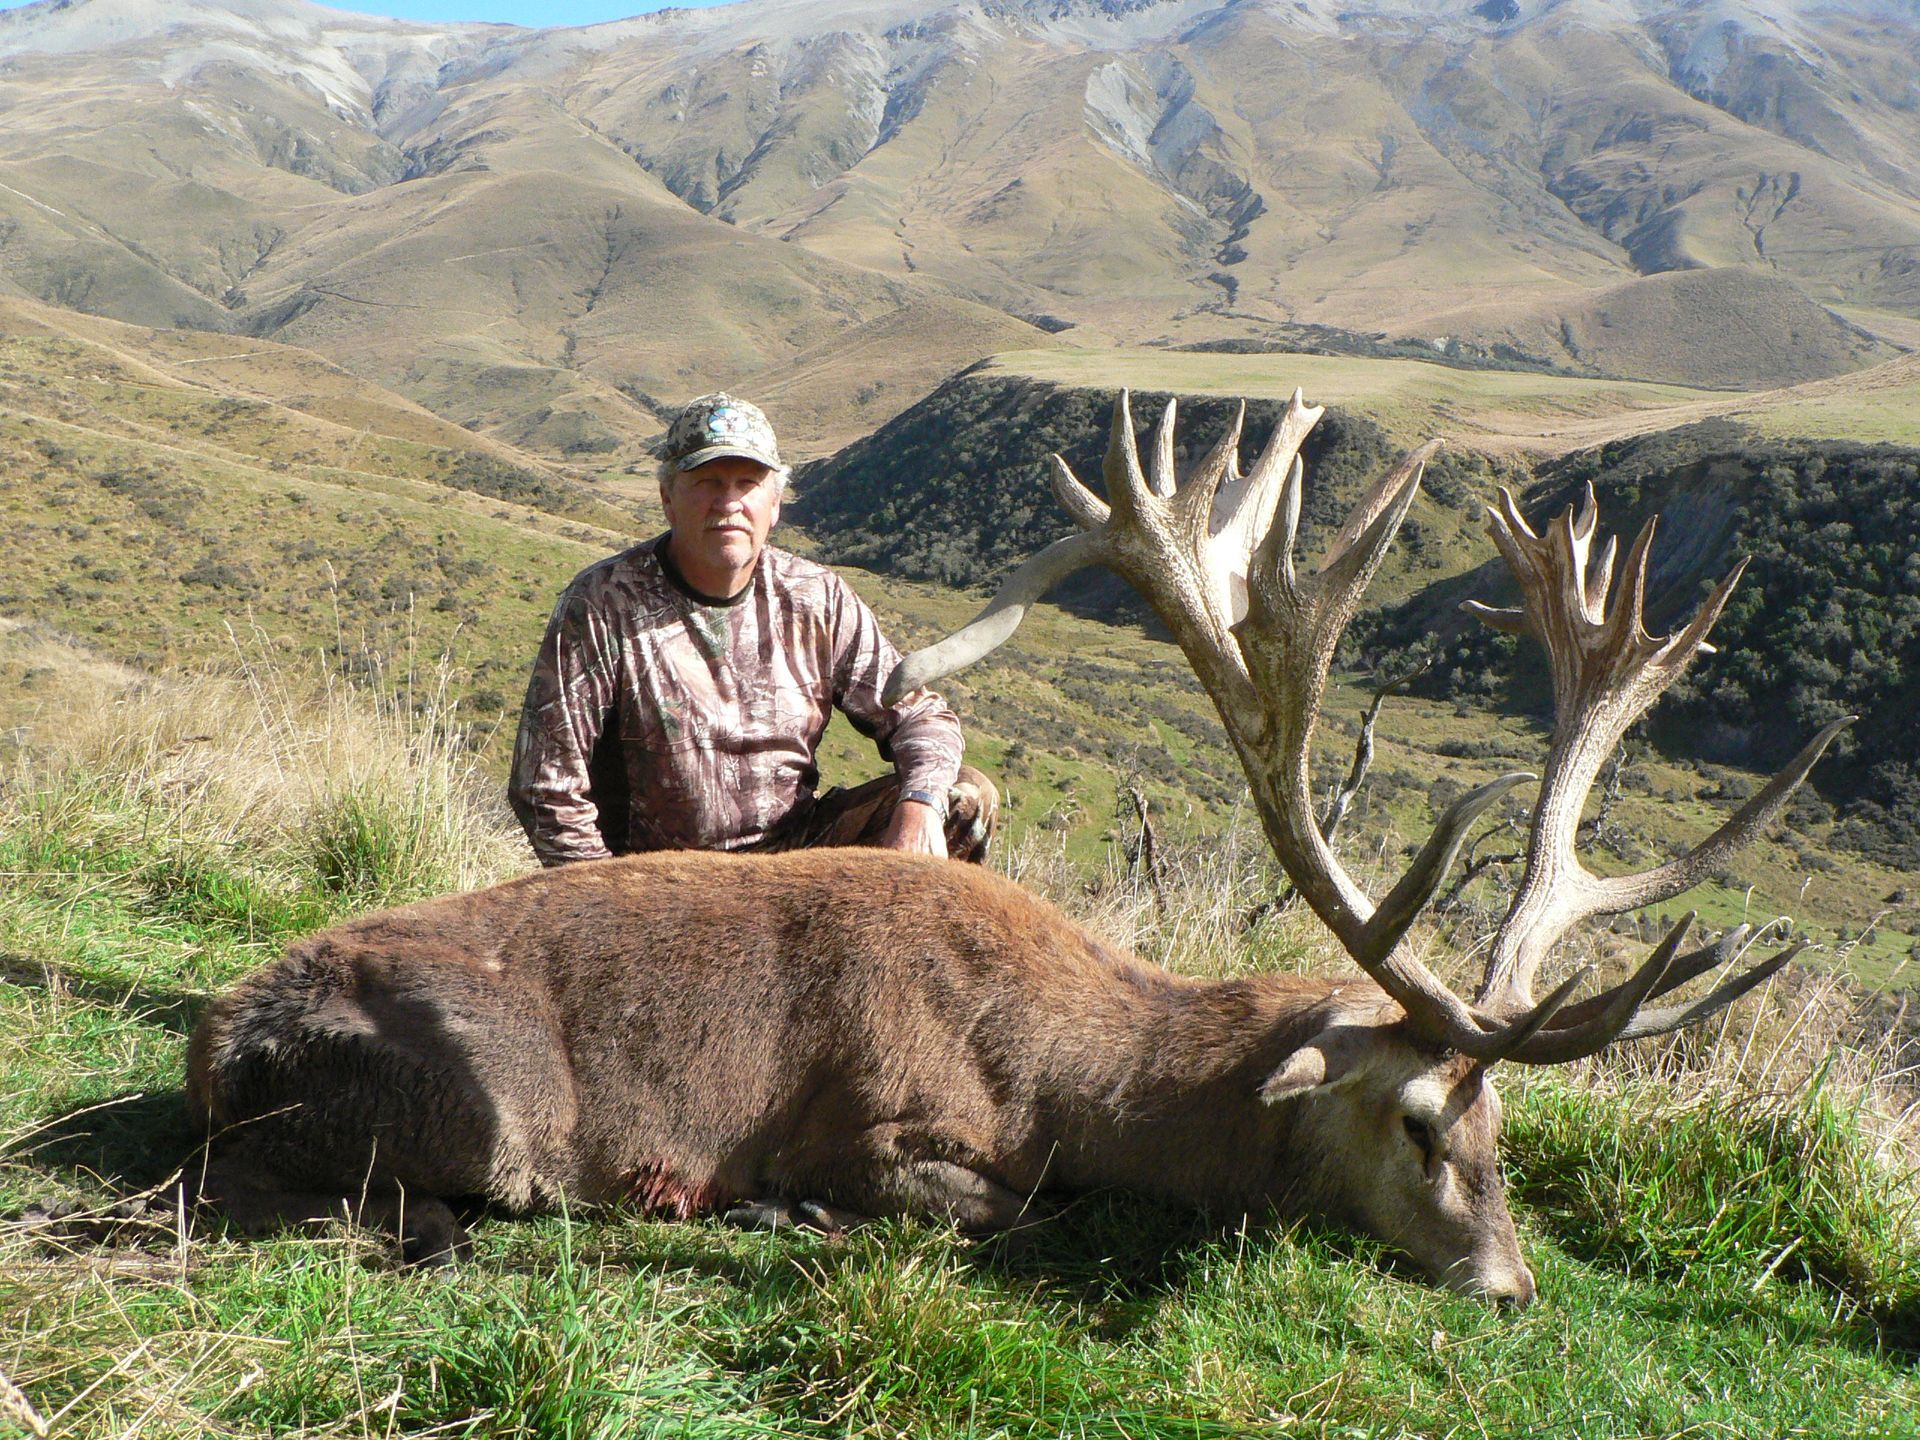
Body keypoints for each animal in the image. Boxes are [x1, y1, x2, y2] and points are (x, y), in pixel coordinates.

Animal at [186, 391, 1848, 1302]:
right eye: (1425, 1125)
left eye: (1508, 1131)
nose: (1509, 1287)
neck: (1076, 1082)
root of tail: (214, 1044)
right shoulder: (881, 1121)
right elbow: (1007, 1209)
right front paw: (786, 1208)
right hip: (485, 1119)